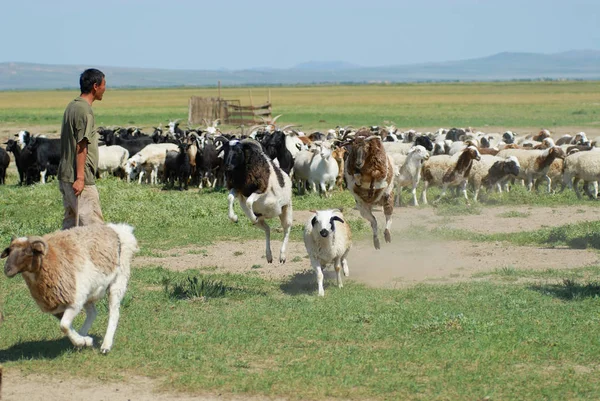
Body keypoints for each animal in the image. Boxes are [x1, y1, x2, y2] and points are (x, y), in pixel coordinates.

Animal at [0, 223, 138, 352]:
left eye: (27, 251)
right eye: (9, 251)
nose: (7, 269)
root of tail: (116, 229)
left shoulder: (74, 302)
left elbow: (64, 325)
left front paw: (81, 341)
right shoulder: (57, 306)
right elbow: (66, 326)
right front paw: (84, 341)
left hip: (118, 282)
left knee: (114, 312)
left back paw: (106, 346)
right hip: (88, 293)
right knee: (93, 313)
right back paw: (83, 337)